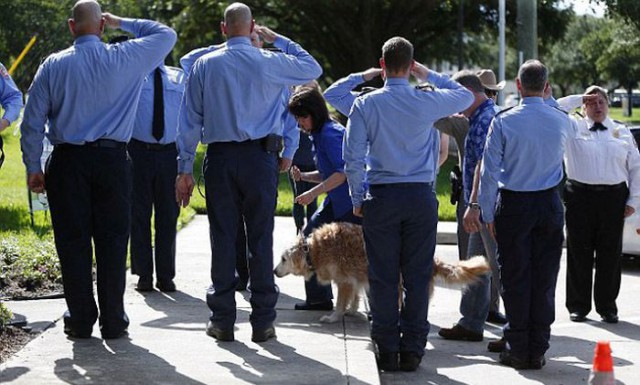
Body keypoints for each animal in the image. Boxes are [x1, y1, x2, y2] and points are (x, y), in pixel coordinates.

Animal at [276, 220, 490, 322]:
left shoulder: (344, 280)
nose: (273, 271)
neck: (314, 250)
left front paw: (334, 317)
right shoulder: (355, 280)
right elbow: (355, 297)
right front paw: (352, 311)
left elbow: (340, 303)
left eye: (283, 259)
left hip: (398, 285)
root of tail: (433, 260)